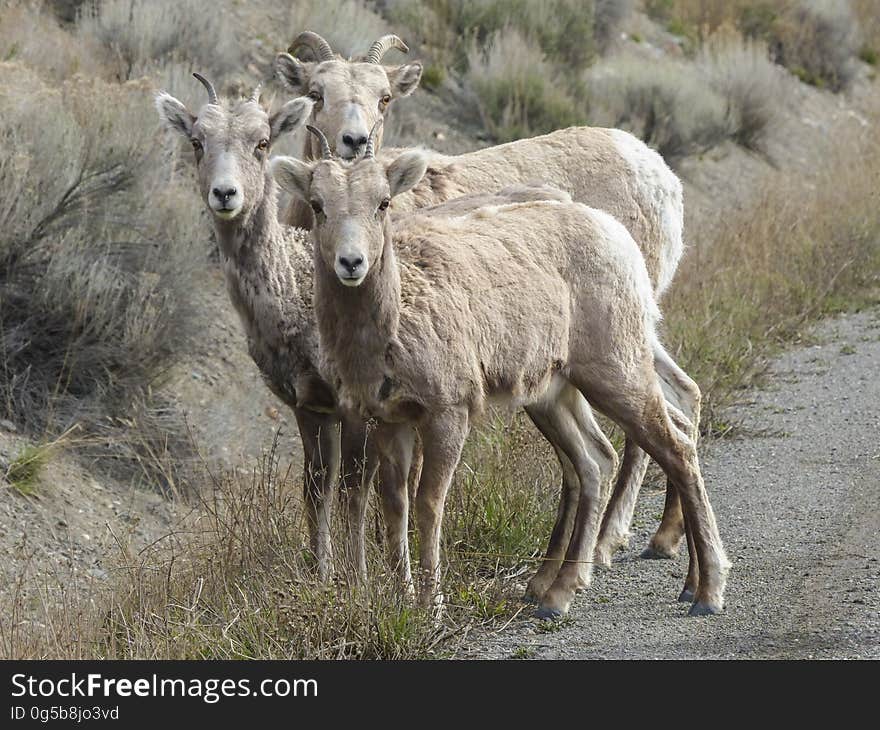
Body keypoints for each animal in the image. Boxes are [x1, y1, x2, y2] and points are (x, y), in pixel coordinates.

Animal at [156, 74, 410, 580]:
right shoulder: (308, 406)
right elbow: (317, 489)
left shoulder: (357, 409)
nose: (225, 194)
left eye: (262, 143)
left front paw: (359, 578)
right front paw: (321, 574)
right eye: (196, 142)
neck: (295, 297)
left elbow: (355, 491)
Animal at [274, 128, 728, 616]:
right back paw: (559, 594)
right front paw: (402, 599)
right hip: (553, 394)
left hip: (617, 373)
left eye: (383, 202)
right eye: (318, 204)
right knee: (594, 461)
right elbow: (395, 505)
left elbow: (428, 504)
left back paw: (705, 591)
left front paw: (431, 606)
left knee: (676, 450)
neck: (395, 320)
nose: (351, 263)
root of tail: (614, 233)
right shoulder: (391, 420)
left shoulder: (448, 413)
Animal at [276, 29, 696, 564]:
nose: (354, 143)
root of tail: (662, 176)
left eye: (384, 99)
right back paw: (660, 537)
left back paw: (606, 543)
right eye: (316, 93)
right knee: (682, 398)